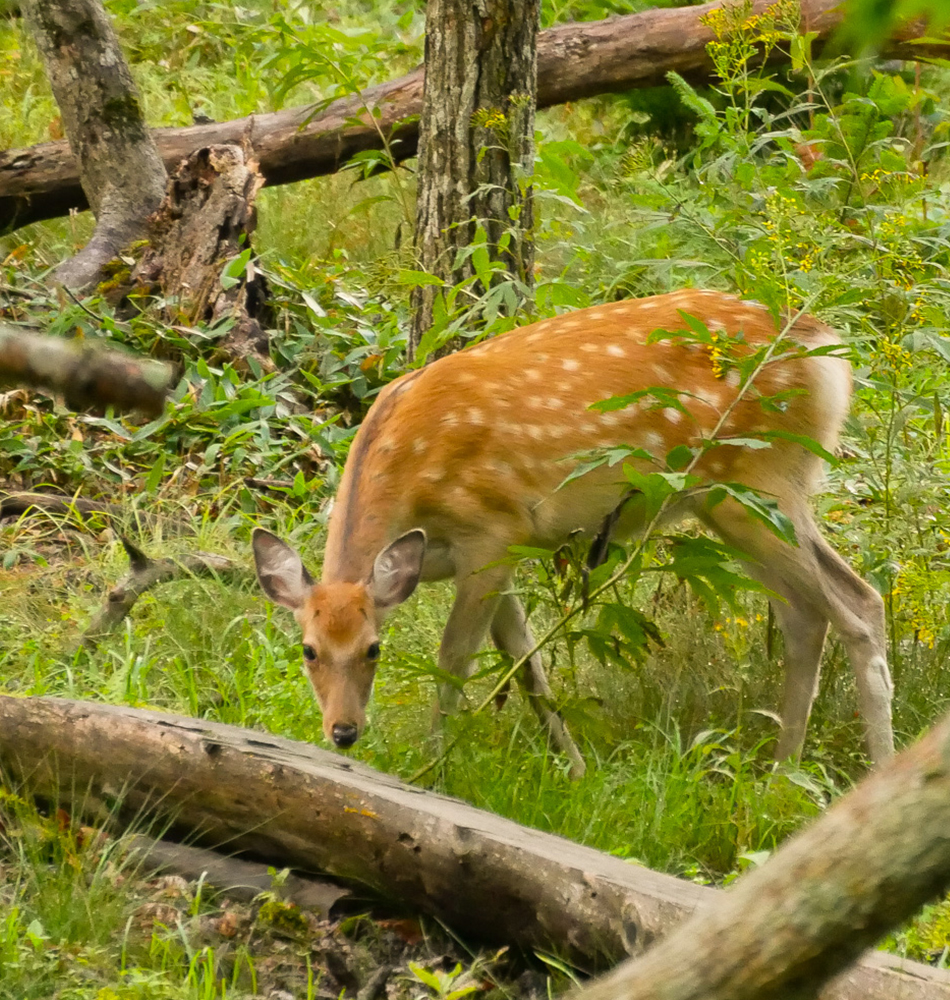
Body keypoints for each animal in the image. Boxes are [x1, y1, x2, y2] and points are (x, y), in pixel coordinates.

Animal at [253, 286, 892, 776]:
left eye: (374, 649)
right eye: (308, 650)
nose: (343, 731)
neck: (409, 475)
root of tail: (824, 354)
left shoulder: (492, 529)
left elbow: (455, 660)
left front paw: (433, 766)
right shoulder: (492, 553)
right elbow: (527, 665)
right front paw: (578, 770)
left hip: (756, 481)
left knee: (857, 605)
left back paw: (870, 771)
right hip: (738, 500)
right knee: (810, 615)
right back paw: (780, 775)